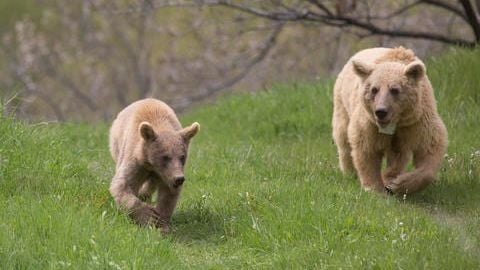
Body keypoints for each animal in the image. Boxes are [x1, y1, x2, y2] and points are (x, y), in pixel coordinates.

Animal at [109, 98, 199, 231]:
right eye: (165, 157)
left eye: (182, 157)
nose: (179, 179)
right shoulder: (135, 160)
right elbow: (123, 184)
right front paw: (148, 216)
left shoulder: (166, 175)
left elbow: (168, 195)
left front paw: (161, 224)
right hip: (117, 147)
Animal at [334, 46, 446, 194]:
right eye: (374, 89)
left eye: (394, 90)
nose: (381, 112)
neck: (396, 121)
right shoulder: (370, 124)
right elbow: (367, 149)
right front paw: (374, 188)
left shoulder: (416, 121)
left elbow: (430, 146)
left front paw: (398, 183)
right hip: (342, 104)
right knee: (343, 138)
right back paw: (349, 172)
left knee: (399, 155)